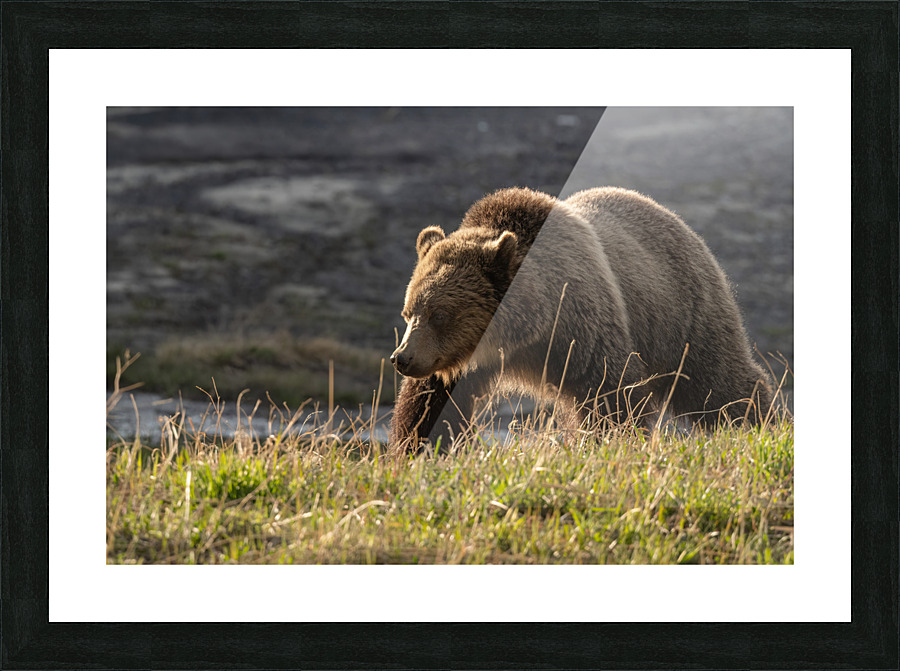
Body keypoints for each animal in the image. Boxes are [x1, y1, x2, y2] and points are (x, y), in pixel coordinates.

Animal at [389, 186, 773, 449]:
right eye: (408, 312)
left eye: (440, 313)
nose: (401, 358)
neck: (524, 334)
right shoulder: (454, 362)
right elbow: (427, 405)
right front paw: (416, 449)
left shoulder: (579, 324)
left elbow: (610, 392)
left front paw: (610, 443)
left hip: (683, 314)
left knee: (717, 381)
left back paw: (759, 422)